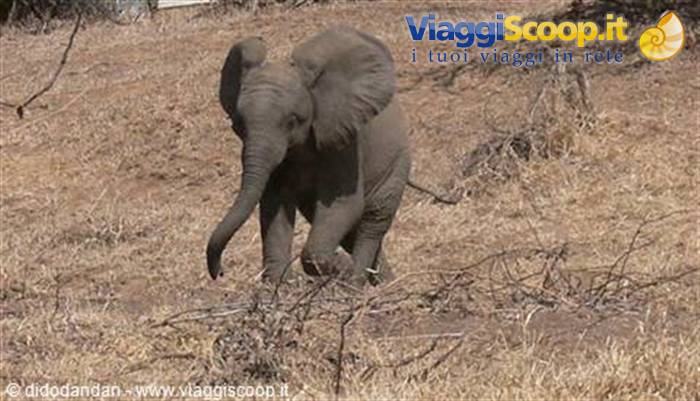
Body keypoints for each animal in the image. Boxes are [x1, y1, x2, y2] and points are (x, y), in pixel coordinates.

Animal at [206, 26, 411, 287]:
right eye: (238, 125)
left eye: (292, 121)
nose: (220, 272)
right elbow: (274, 204)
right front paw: (276, 286)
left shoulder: (343, 142)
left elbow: (345, 203)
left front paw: (341, 267)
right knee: (347, 230)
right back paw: (386, 282)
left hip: (397, 163)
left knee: (373, 222)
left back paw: (356, 282)